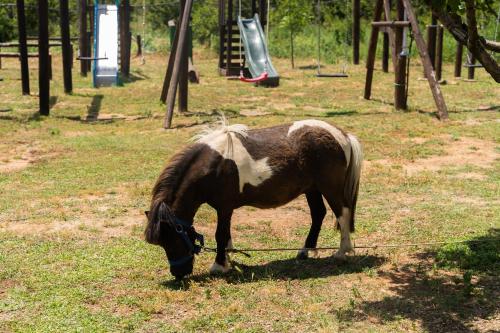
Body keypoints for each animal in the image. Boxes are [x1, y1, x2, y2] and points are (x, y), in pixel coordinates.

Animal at [145, 116, 364, 278]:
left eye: (172, 238)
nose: (178, 273)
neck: (214, 165)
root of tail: (342, 135)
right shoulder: (225, 209)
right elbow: (226, 234)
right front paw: (228, 257)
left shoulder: (224, 207)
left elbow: (220, 234)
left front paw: (219, 266)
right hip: (312, 189)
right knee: (318, 214)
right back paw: (305, 251)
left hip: (329, 188)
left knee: (342, 213)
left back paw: (342, 252)